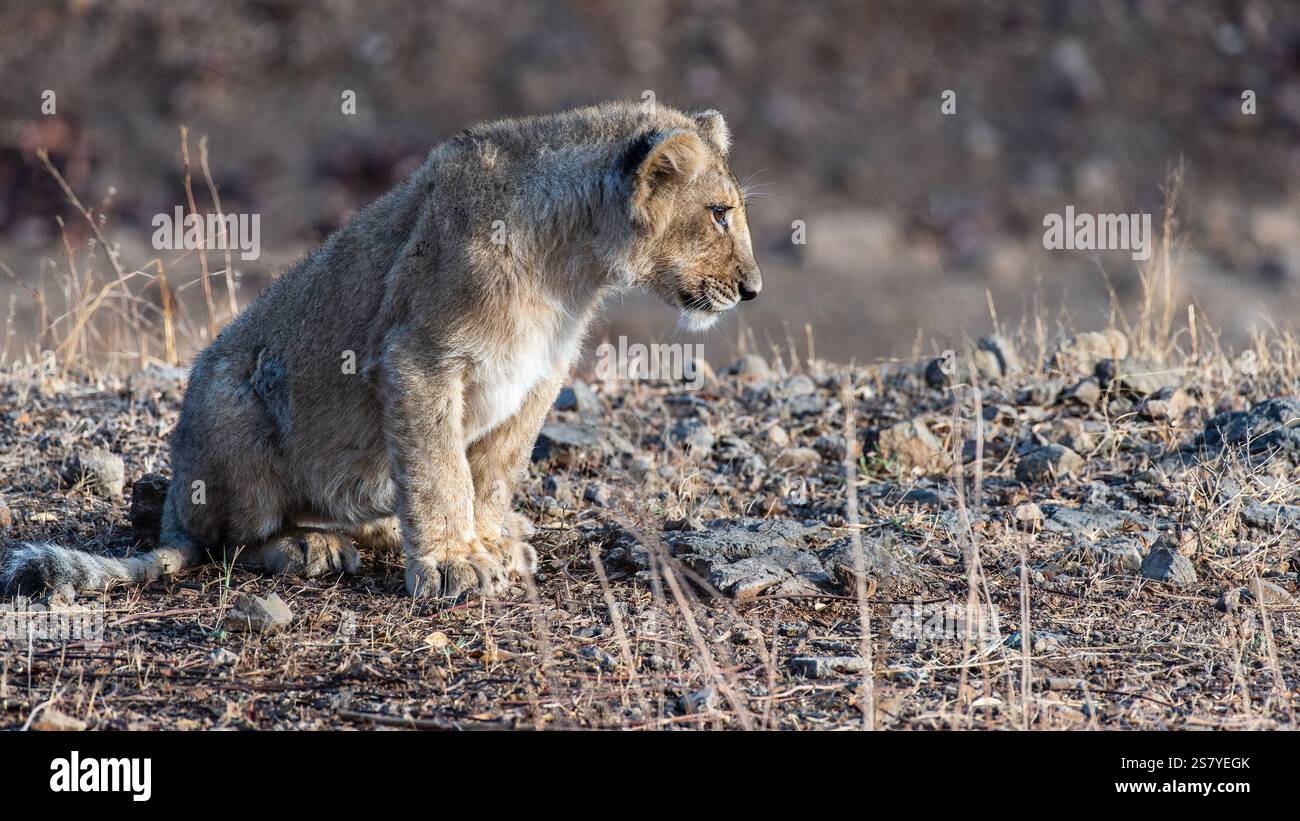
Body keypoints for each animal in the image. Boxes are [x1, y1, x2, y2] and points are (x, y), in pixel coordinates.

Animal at [1, 101, 763, 599]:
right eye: (719, 213)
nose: (753, 288)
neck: (572, 268)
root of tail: (169, 516)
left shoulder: (538, 376)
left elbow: (493, 469)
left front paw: (491, 540)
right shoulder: (420, 356)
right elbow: (438, 468)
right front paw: (455, 562)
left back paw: (380, 533)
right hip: (231, 400)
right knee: (226, 542)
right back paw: (309, 544)